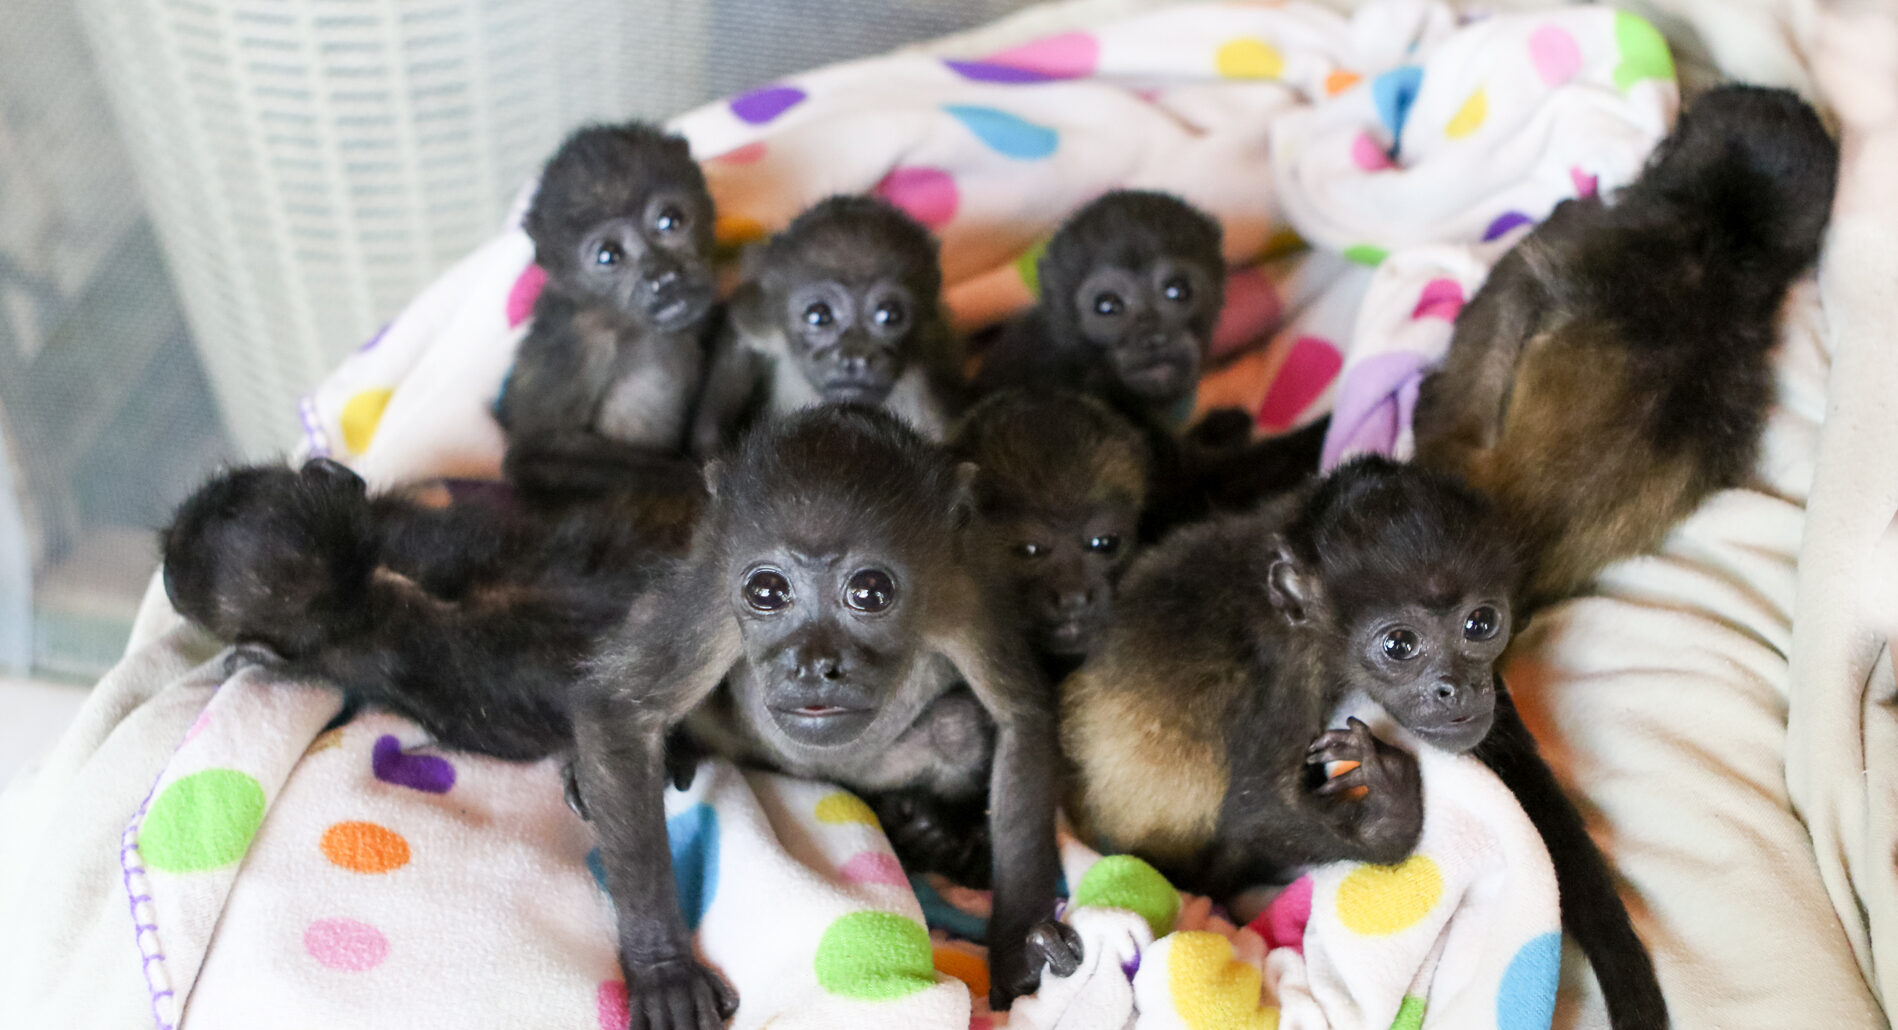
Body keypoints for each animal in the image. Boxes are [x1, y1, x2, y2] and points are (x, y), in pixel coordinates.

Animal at [494, 122, 720, 499]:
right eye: (607, 255)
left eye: (670, 220)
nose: (662, 277)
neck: (621, 320)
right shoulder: (573, 344)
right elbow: (534, 455)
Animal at [564, 405, 1065, 1029]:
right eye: (766, 590)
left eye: (870, 592)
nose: (812, 666)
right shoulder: (711, 598)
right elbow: (618, 712)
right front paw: (664, 970)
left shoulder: (963, 590)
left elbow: (1022, 718)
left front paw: (1018, 944)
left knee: (958, 729)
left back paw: (929, 828)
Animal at [689, 195, 965, 455]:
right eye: (818, 316)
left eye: (889, 315)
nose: (855, 358)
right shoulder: (759, 315)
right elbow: (741, 329)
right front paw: (710, 442)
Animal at [1060, 456, 1668, 1030]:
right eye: (1399, 644)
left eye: (1480, 624)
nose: (1455, 688)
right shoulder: (1290, 667)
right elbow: (1259, 809)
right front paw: (1391, 812)